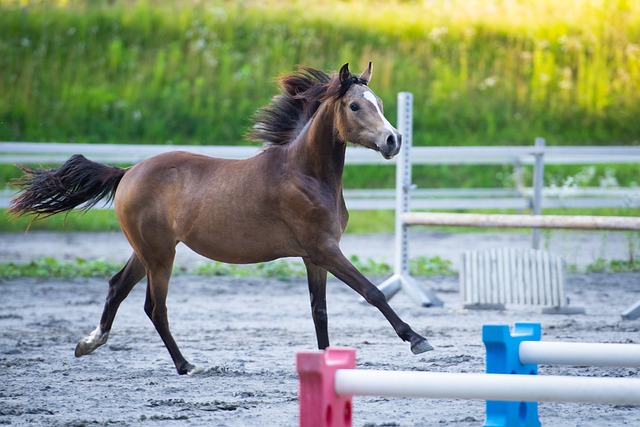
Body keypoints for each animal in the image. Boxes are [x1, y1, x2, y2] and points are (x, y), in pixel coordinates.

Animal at [10, 62, 432, 374]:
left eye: (380, 102)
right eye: (355, 106)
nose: (394, 140)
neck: (305, 173)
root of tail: (128, 172)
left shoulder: (314, 257)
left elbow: (320, 312)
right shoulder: (324, 249)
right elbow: (372, 292)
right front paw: (417, 339)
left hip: (147, 251)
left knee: (117, 287)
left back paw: (89, 343)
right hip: (160, 255)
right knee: (154, 307)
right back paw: (185, 365)